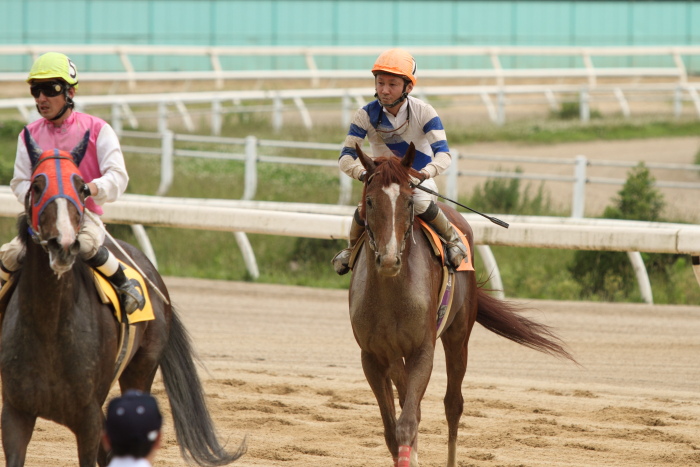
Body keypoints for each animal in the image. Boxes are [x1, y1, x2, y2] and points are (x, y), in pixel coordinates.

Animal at [0, 130, 246, 466]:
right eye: (37, 186)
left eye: (82, 187)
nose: (63, 244)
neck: (49, 327)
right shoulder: (16, 411)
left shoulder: (88, 417)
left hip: (142, 367)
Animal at [350, 144, 576, 467]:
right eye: (369, 201)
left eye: (408, 202)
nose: (390, 259)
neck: (390, 293)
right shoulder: (372, 357)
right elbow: (394, 429)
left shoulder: (423, 349)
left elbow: (408, 423)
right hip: (395, 356)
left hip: (458, 334)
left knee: (452, 404)